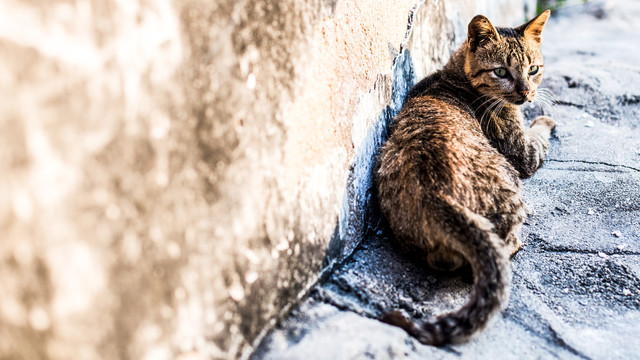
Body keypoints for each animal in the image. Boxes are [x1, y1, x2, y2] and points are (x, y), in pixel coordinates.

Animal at [376, 9, 556, 344]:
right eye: (501, 71)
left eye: (533, 69)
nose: (526, 93)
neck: (454, 73)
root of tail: (437, 194)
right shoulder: (522, 153)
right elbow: (538, 135)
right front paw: (544, 119)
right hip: (509, 182)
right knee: (497, 252)